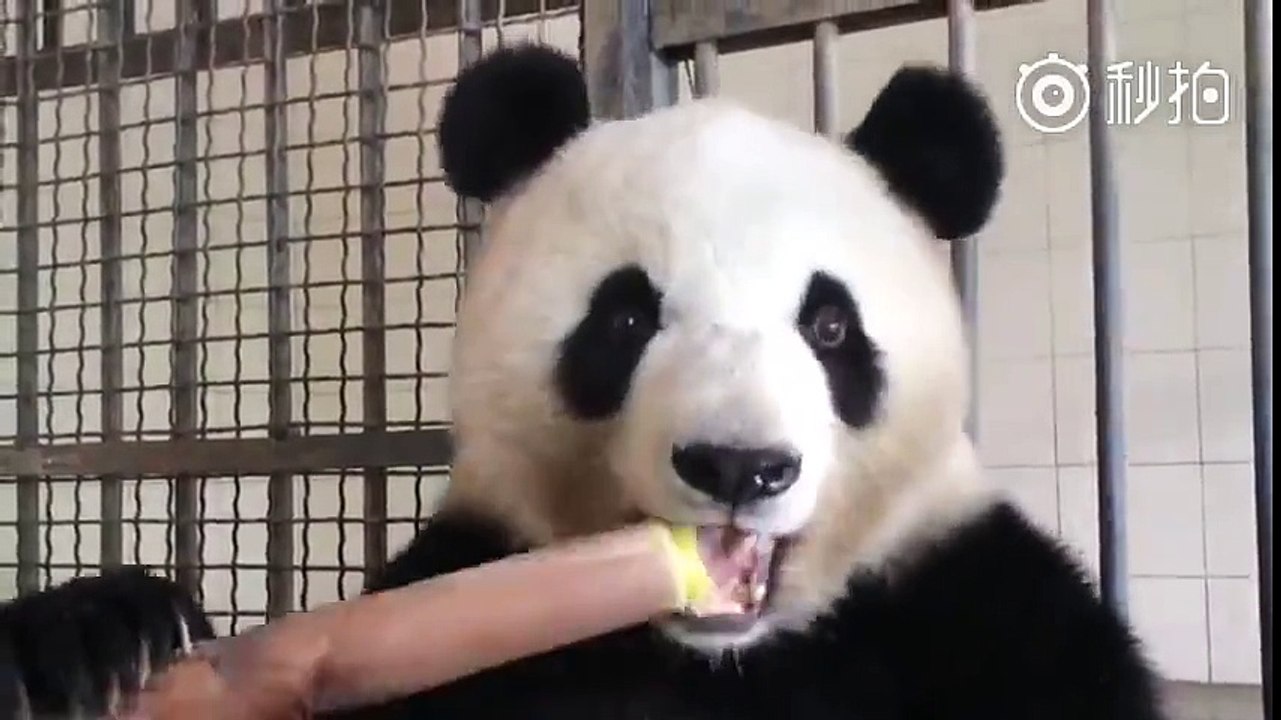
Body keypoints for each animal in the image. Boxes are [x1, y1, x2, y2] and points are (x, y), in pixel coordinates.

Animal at [0, 43, 1169, 720]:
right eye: (626, 317)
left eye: (830, 324)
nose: (737, 465)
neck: (716, 657)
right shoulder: (459, 603)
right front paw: (91, 634)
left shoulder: (973, 614)